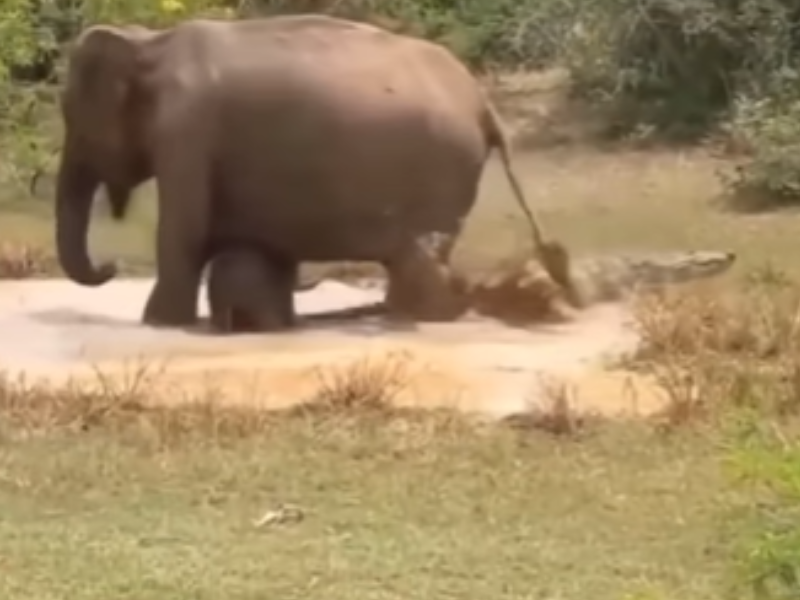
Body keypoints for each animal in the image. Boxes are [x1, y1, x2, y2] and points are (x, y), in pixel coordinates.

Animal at [54, 14, 549, 328]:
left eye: (74, 120)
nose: (110, 264)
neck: (151, 41)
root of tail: (482, 102)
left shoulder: (187, 131)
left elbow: (184, 230)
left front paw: (158, 323)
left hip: (442, 170)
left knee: (420, 250)